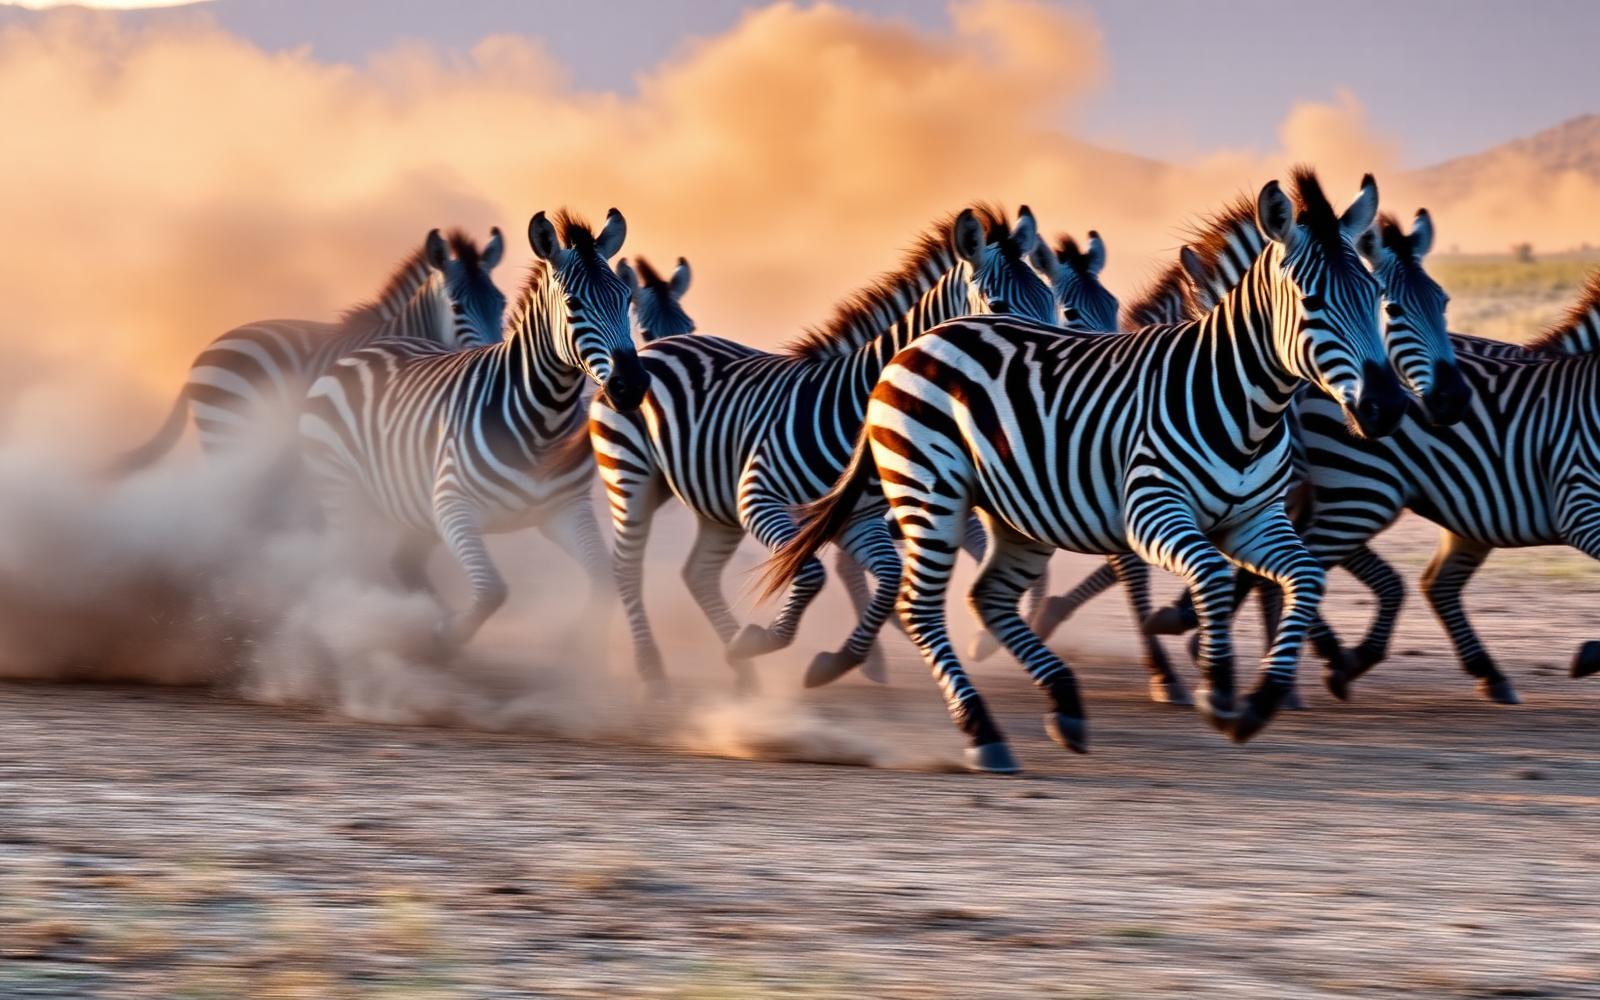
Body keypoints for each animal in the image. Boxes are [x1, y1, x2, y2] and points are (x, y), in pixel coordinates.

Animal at [298, 209, 647, 652]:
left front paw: (574, 644)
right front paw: (447, 635)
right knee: (347, 565)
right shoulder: (452, 507)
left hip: (411, 509)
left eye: (627, 298)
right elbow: (493, 591)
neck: (543, 423)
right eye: (573, 303)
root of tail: (372, 346)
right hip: (341, 489)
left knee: (402, 563)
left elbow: (603, 580)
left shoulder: (567, 509)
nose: (631, 384)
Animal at [589, 206, 1058, 692]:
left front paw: (835, 661)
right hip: (631, 475)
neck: (851, 405)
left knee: (698, 573)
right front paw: (765, 640)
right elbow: (811, 573)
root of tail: (653, 347)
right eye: (999, 307)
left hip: (715, 503)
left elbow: (889, 577)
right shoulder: (760, 497)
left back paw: (741, 667)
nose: (1039, 388)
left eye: (1050, 300)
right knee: (627, 567)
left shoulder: (857, 520)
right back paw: (652, 669)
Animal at [762, 171, 1409, 773]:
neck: (1240, 400)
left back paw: (1063, 703)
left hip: (1015, 514)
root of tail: (923, 339)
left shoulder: (1256, 521)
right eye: (1312, 301)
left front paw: (1261, 698)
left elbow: (1305, 576)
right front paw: (1215, 687)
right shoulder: (1151, 511)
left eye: (1377, 294)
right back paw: (980, 730)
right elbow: (1211, 575)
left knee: (988, 597)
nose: (1386, 407)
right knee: (919, 606)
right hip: (930, 493)